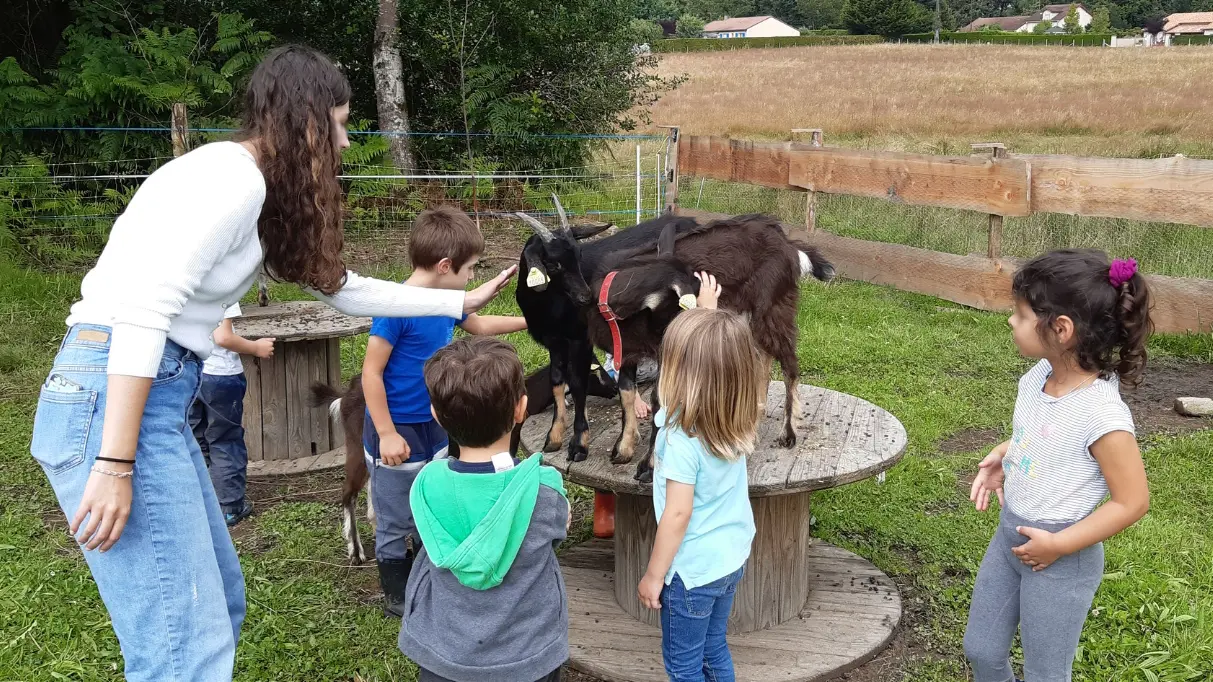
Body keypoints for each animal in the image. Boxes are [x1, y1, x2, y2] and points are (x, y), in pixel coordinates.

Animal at [514, 197, 703, 461]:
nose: (586, 296)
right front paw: (554, 437)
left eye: (579, 255)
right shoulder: (554, 341)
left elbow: (578, 383)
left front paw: (579, 443)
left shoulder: (580, 339)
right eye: (553, 264)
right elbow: (557, 380)